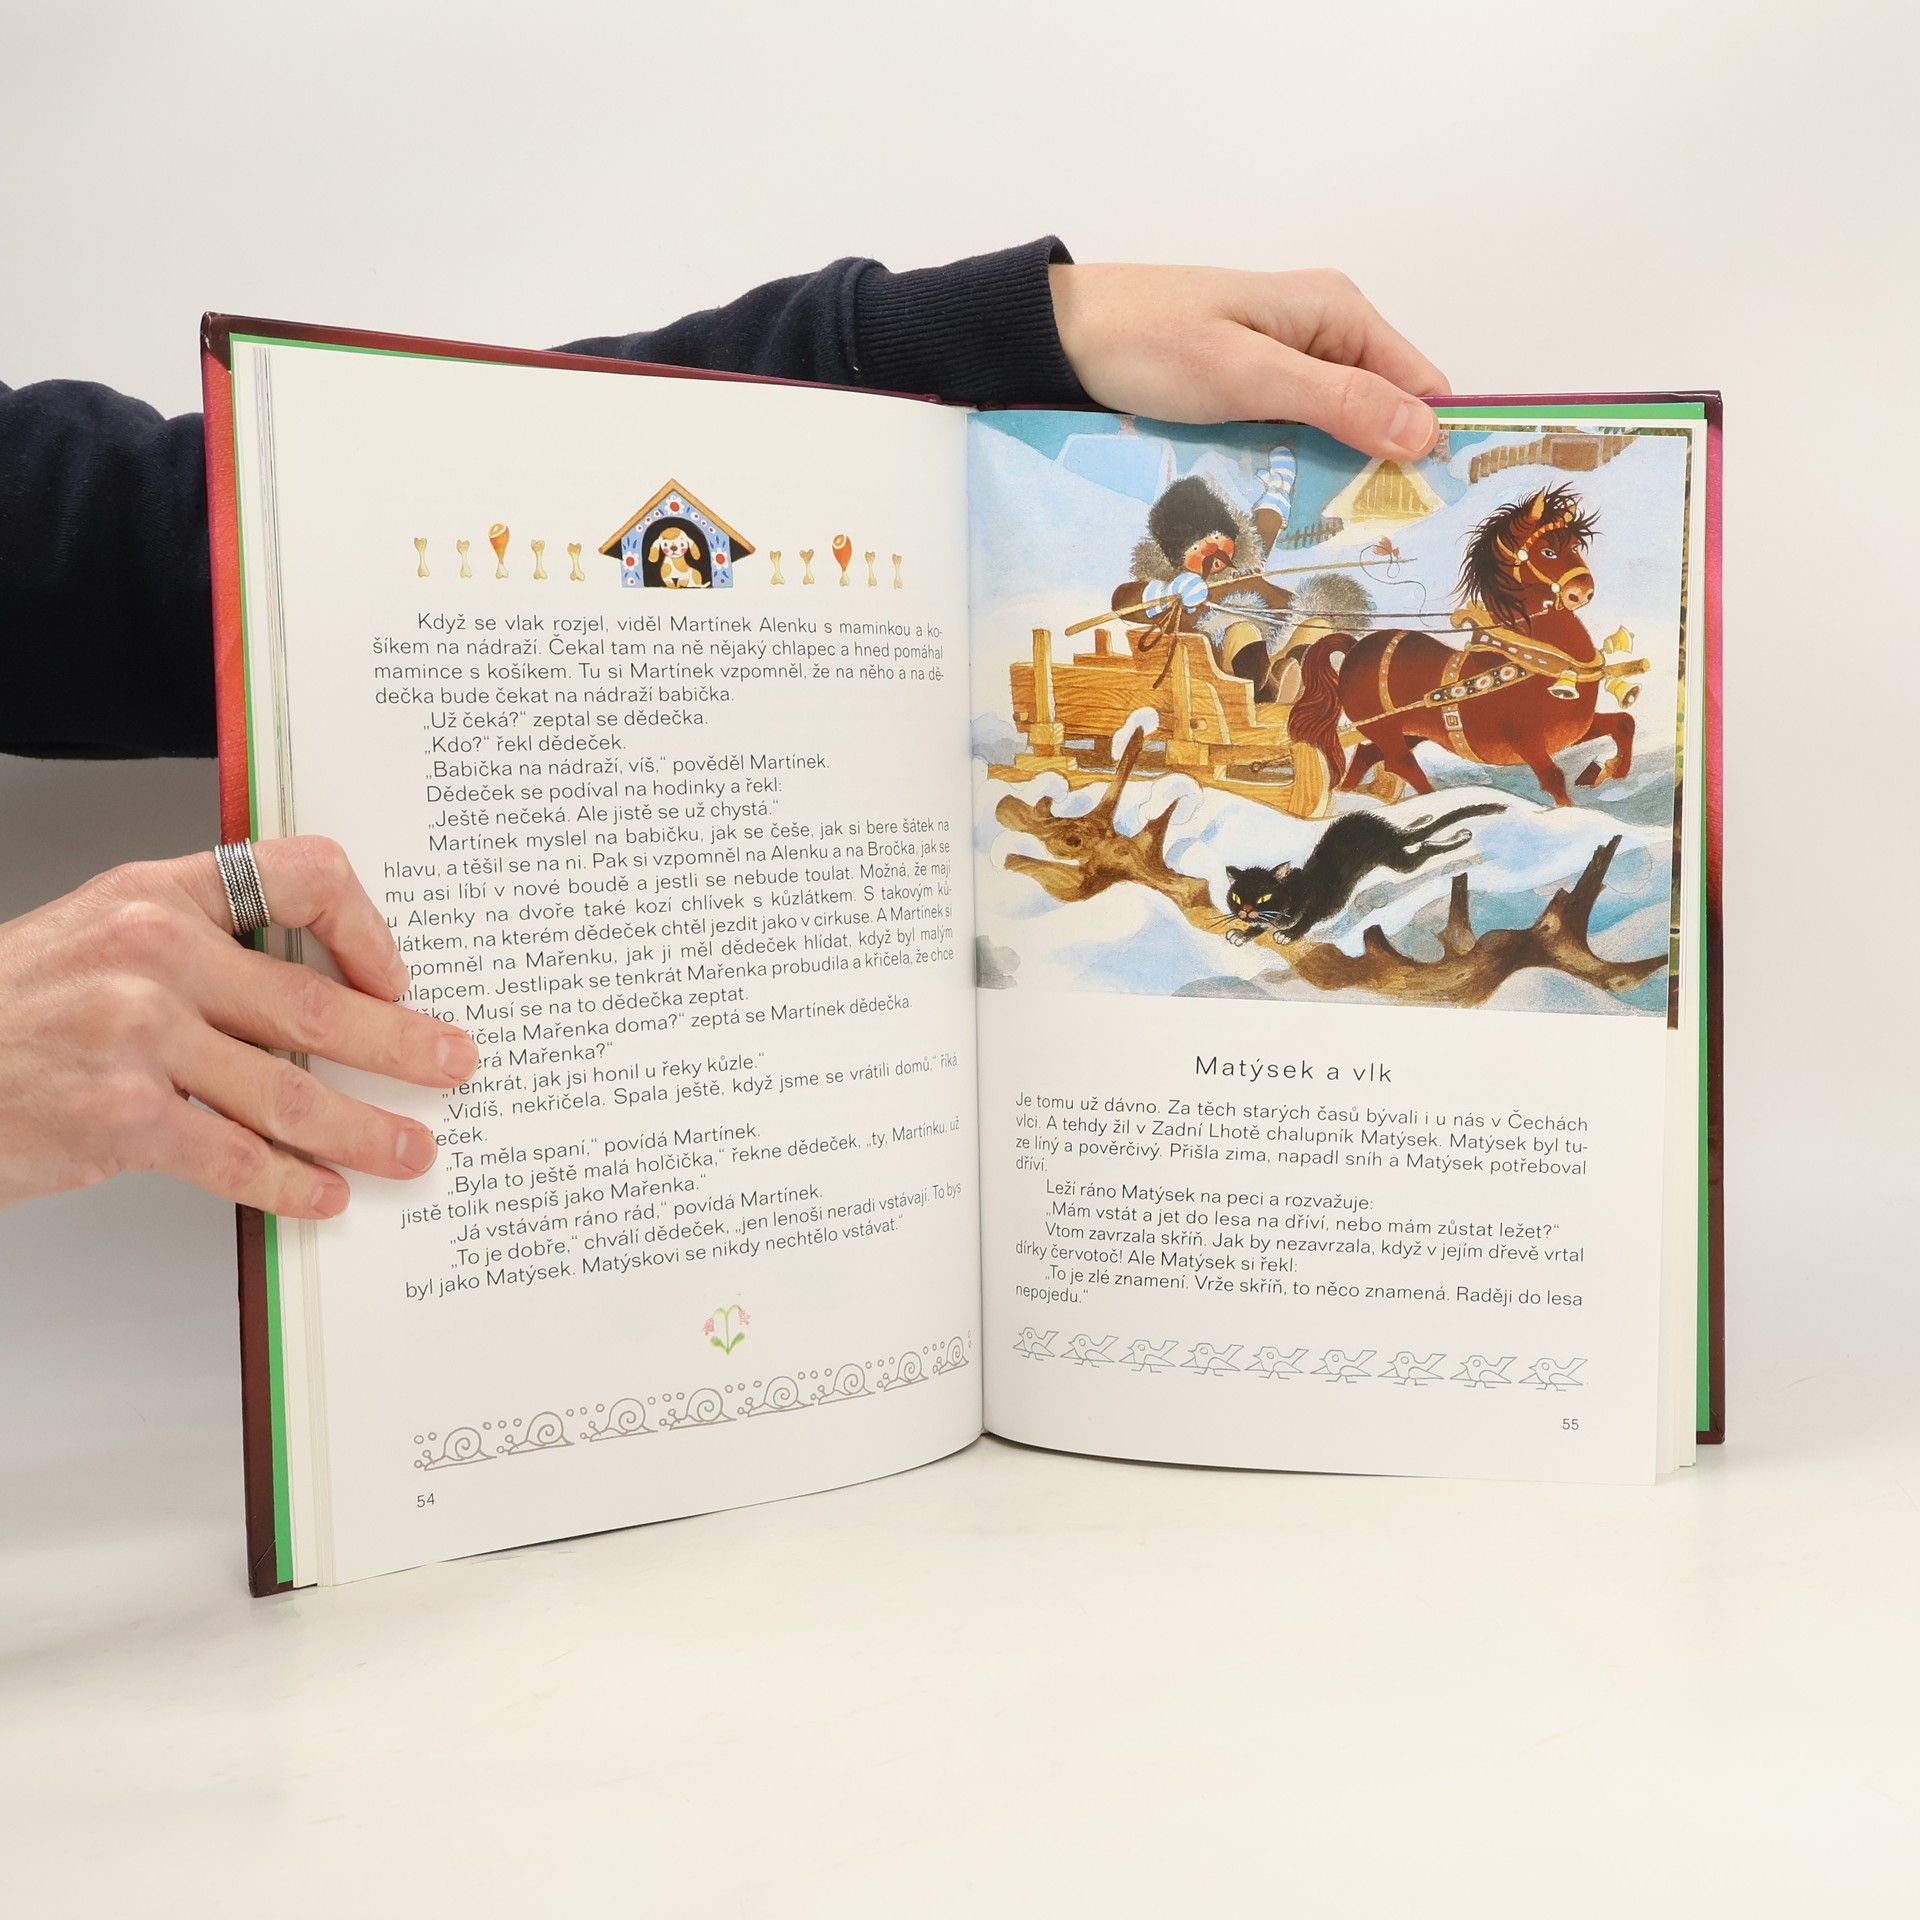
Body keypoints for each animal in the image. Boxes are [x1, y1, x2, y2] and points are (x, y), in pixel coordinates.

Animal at [1222, 803, 1504, 945]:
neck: (1292, 891)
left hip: (1398, 860)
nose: (1245, 911)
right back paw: (1422, 818)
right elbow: (1262, 925)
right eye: (1236, 898)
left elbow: (1305, 921)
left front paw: (1287, 934)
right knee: (1414, 832)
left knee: (1424, 847)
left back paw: (1461, 836)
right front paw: (1243, 934)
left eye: (1263, 898)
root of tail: (1387, 833)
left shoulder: (1318, 903)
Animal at [1288, 486, 1633, 808]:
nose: (1583, 592)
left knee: (1366, 755)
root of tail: (1354, 649)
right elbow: (1554, 779)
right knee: (1400, 763)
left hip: (1408, 732)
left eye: (1574, 546)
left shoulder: (1574, 730)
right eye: (1548, 552)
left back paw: (1346, 798)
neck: (1534, 661)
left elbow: (1623, 723)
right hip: (1387, 730)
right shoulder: (1528, 742)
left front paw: (1607, 771)